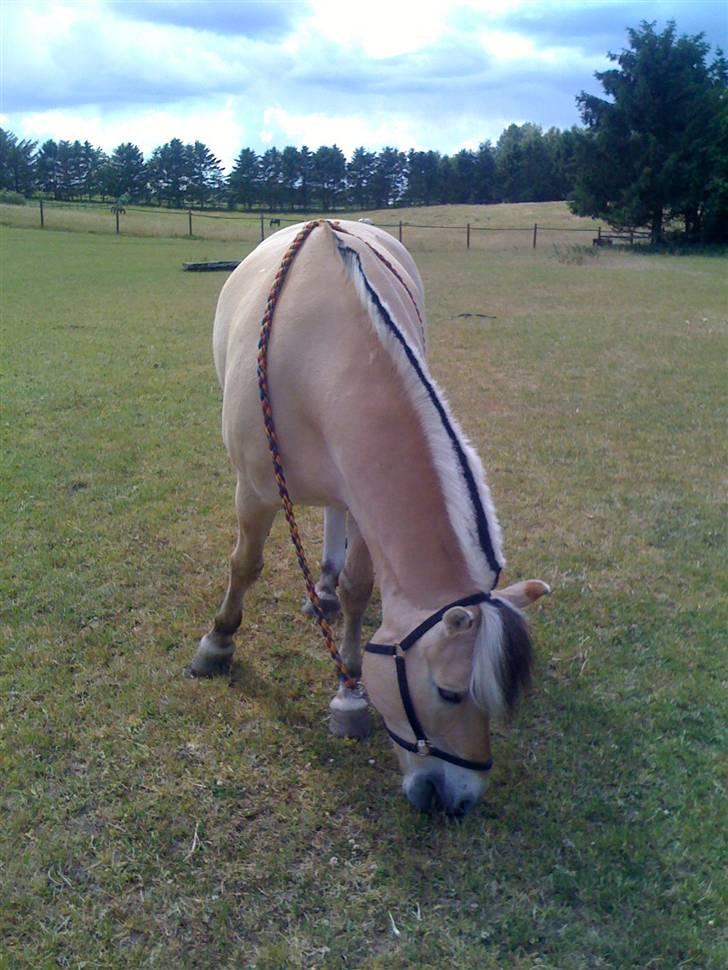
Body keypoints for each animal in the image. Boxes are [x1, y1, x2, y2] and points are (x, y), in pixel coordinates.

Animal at [191, 221, 548, 816]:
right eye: (449, 692)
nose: (461, 801)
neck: (322, 358)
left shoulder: (363, 497)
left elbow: (360, 587)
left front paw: (350, 692)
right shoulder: (255, 492)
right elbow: (245, 565)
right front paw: (217, 644)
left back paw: (325, 588)